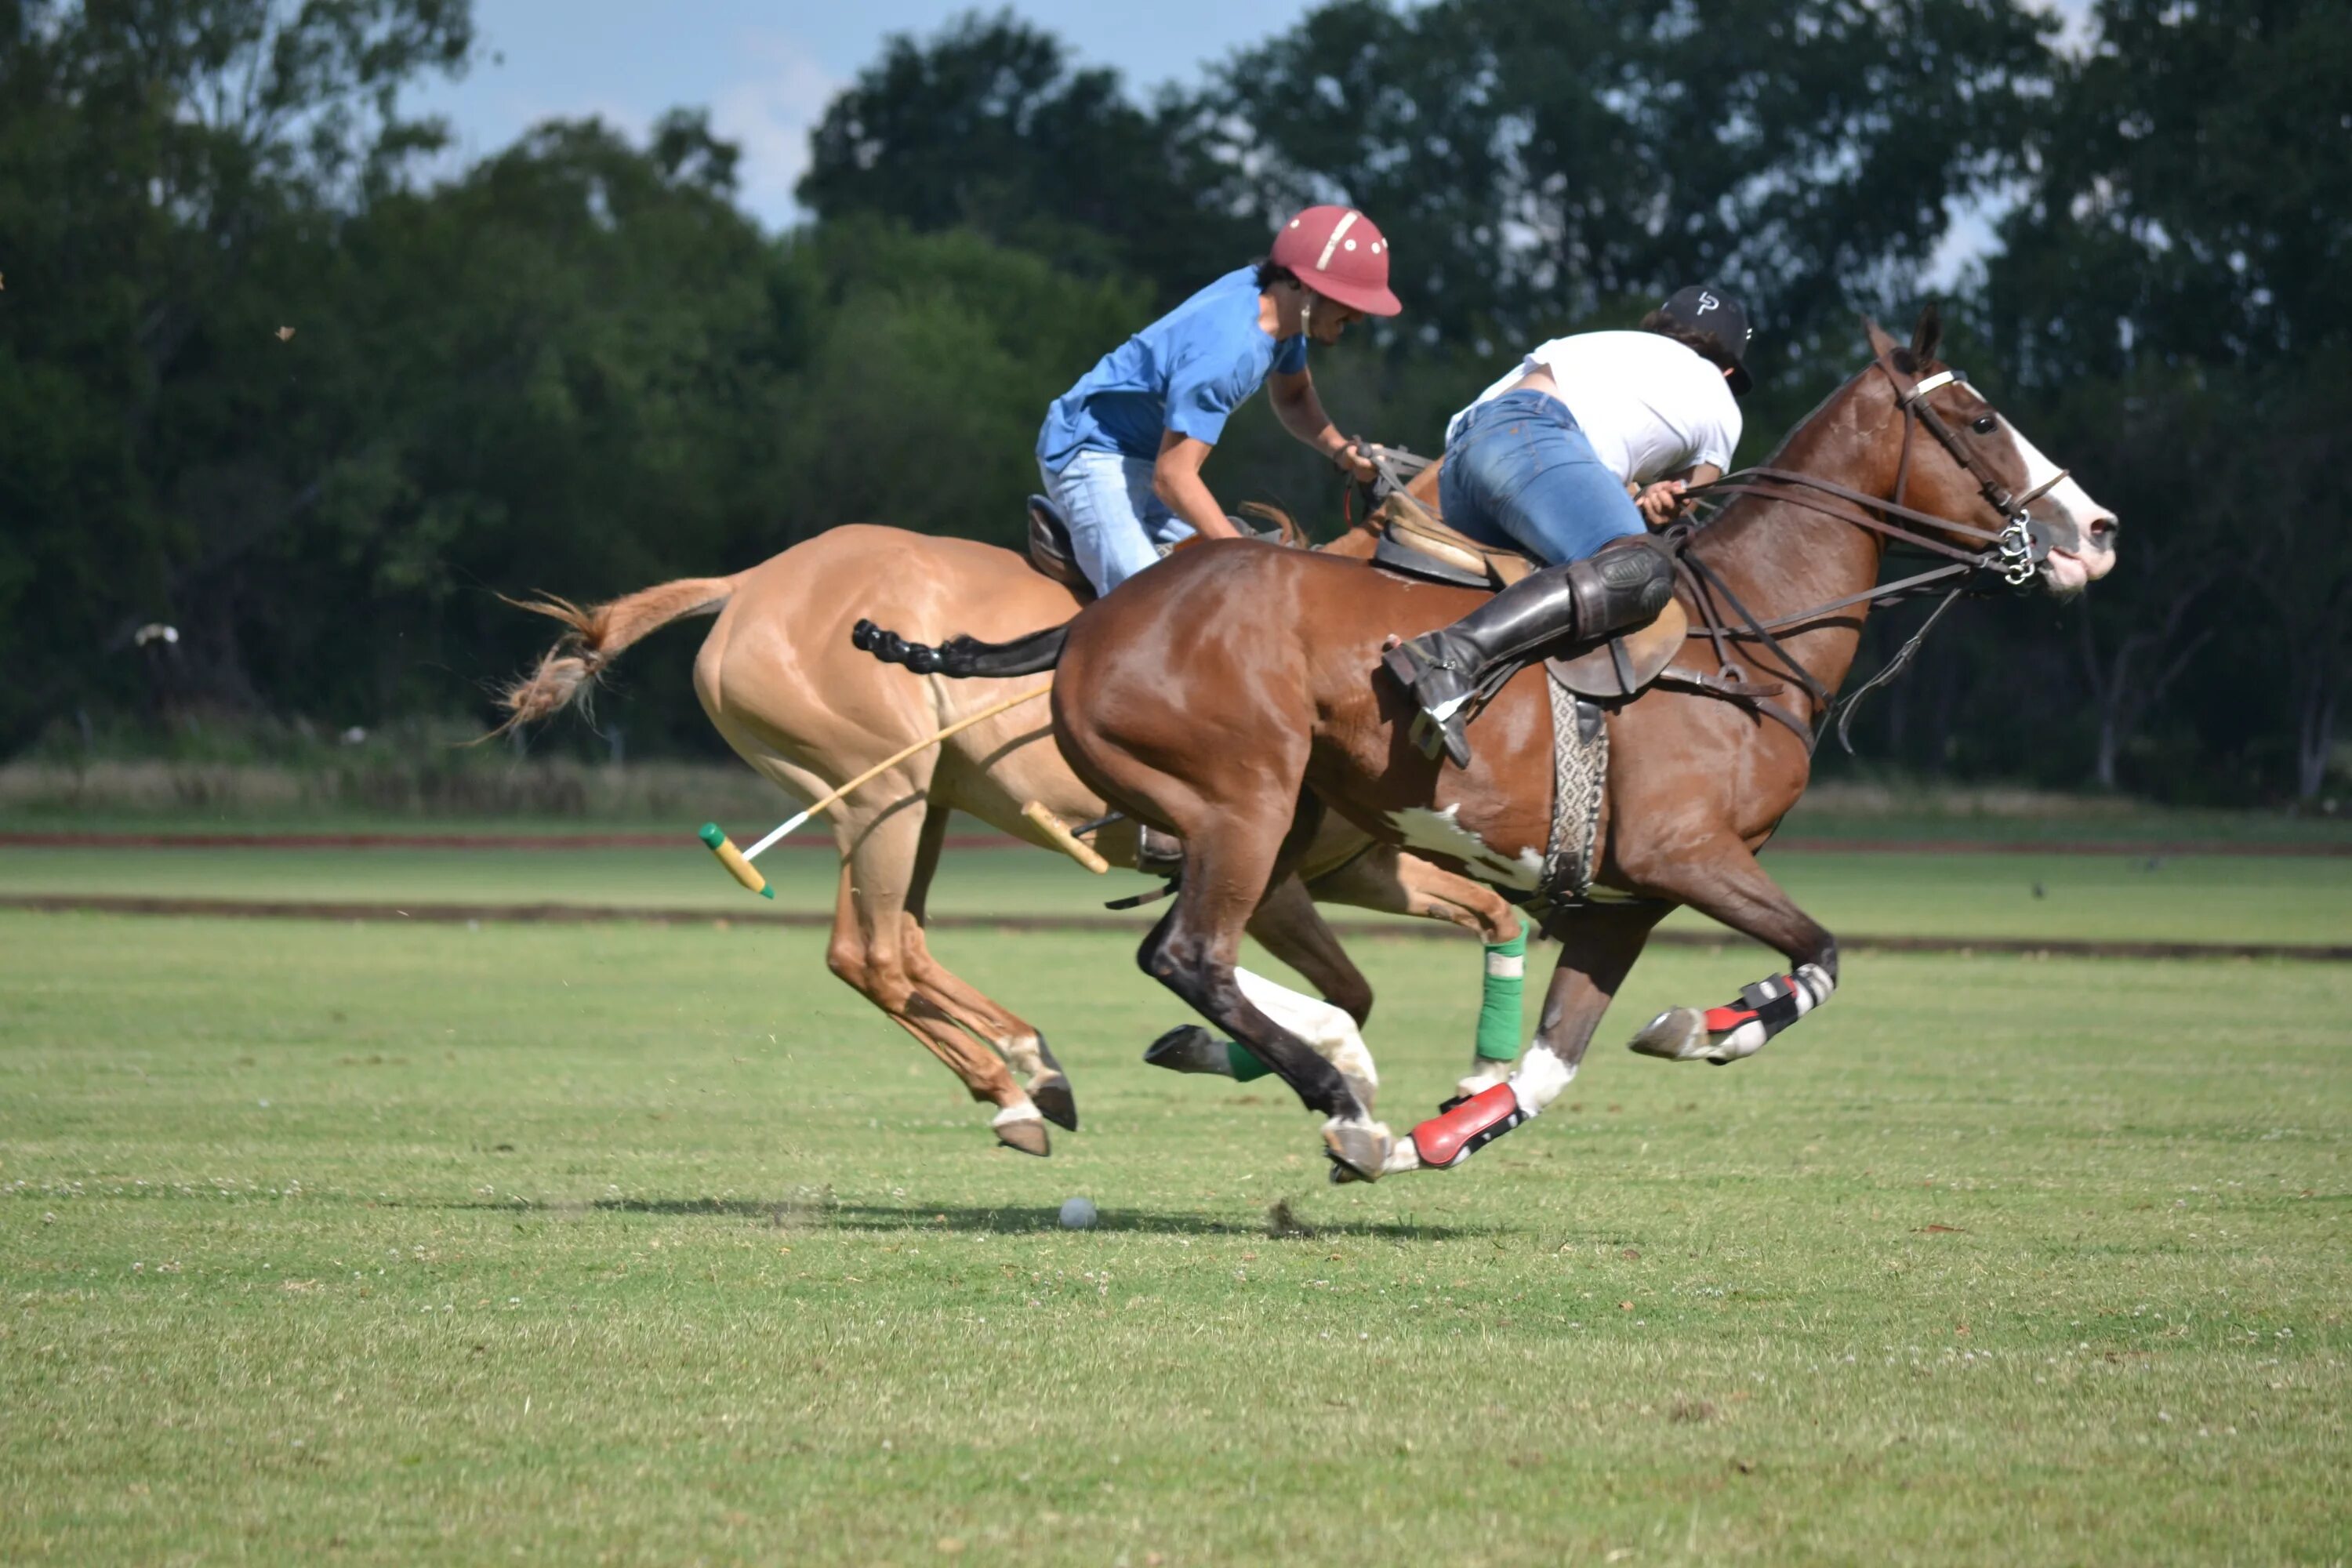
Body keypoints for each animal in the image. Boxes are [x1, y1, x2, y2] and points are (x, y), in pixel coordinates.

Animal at [499, 521, 1524, 1161]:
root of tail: (748, 582)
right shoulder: (1266, 870)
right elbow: (1308, 981)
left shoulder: (1363, 865)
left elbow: (1440, 940)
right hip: (883, 791)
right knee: (872, 952)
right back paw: (1017, 1089)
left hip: (920, 805)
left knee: (895, 946)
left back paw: (1031, 1069)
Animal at [875, 314, 2126, 1175]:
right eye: (1978, 419)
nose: (2099, 531)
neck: (1752, 632)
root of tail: (1097, 615)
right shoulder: (1690, 855)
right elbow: (1819, 954)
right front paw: (1713, 1024)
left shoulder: (1625, 900)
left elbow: (1550, 1064)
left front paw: (1442, 1136)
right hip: (1244, 805)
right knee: (1188, 955)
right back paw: (1335, 1097)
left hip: (1279, 828)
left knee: (1239, 968)